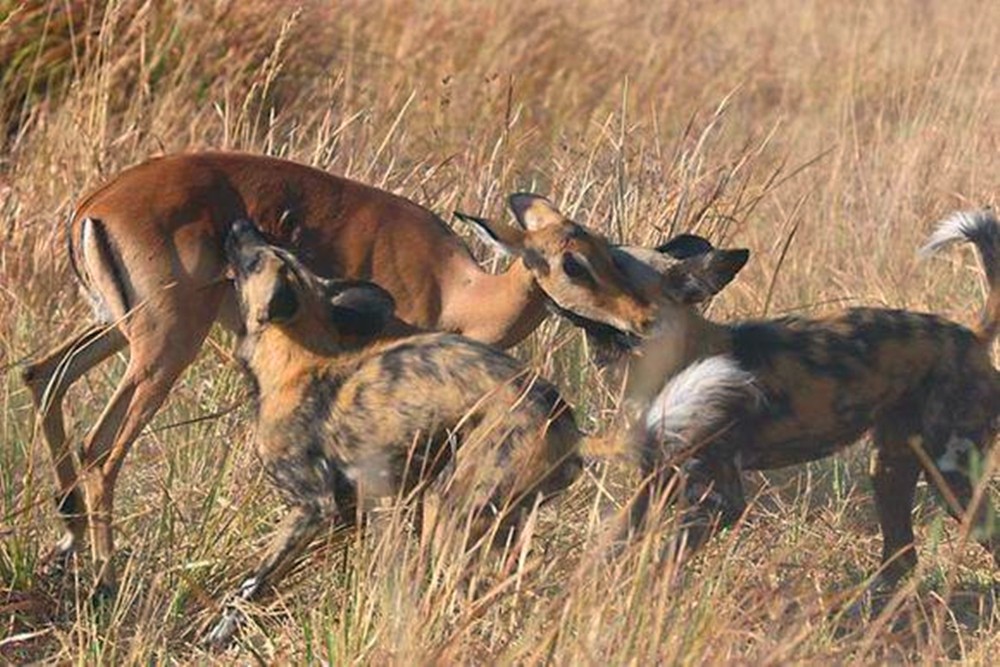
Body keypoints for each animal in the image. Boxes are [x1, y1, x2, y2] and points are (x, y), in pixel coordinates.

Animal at [19, 153, 656, 600]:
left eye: (606, 249)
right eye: (574, 263)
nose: (644, 318)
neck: (459, 291)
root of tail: (95, 204)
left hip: (121, 332)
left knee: (43, 374)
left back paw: (67, 541)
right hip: (164, 346)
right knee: (101, 447)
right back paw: (103, 581)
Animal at [207, 222, 584, 648]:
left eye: (255, 260)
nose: (240, 225)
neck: (295, 363)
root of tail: (564, 420)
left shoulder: (313, 508)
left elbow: (252, 583)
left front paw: (220, 634)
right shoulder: (353, 513)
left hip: (449, 512)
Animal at [580, 210, 1000, 584]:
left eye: (612, 266)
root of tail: (971, 337)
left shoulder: (719, 503)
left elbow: (660, 567)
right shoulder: (654, 483)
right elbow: (610, 544)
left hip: (951, 478)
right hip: (890, 468)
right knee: (901, 557)